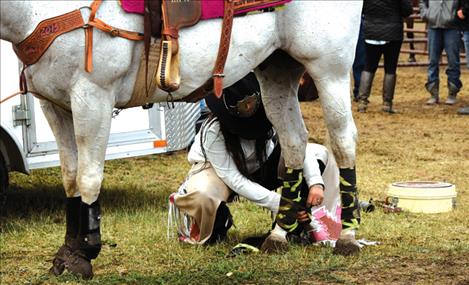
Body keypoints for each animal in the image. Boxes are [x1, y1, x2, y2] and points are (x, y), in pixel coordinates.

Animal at [0, 0, 360, 278]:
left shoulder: (93, 97)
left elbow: (89, 178)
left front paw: (85, 252)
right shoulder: (55, 105)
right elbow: (71, 178)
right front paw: (67, 254)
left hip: (330, 67)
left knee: (343, 139)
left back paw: (348, 235)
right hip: (277, 67)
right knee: (294, 139)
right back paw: (280, 234)